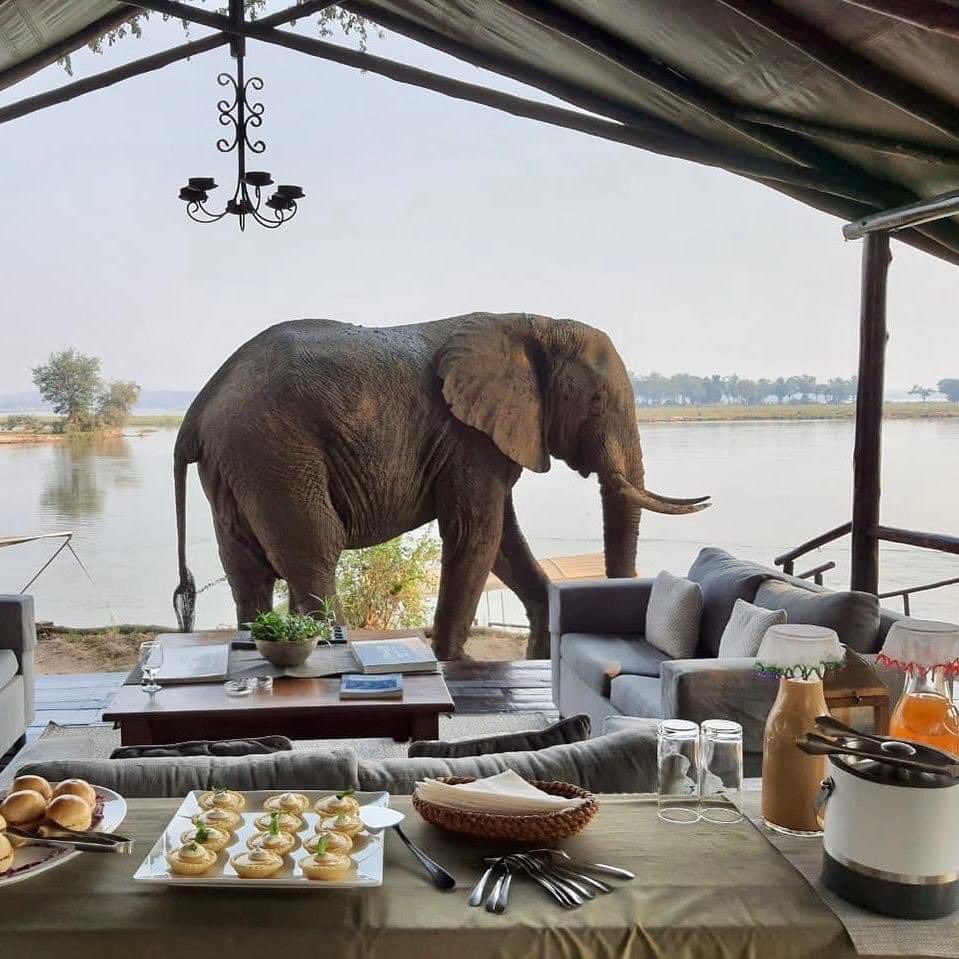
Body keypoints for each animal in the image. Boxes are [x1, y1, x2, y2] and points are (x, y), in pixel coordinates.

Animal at [172, 316, 708, 660]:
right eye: (596, 403)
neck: (534, 325)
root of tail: (200, 404)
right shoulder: (466, 435)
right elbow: (477, 534)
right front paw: (451, 662)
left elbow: (503, 541)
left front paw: (537, 654)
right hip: (274, 453)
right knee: (314, 552)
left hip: (236, 464)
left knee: (245, 568)